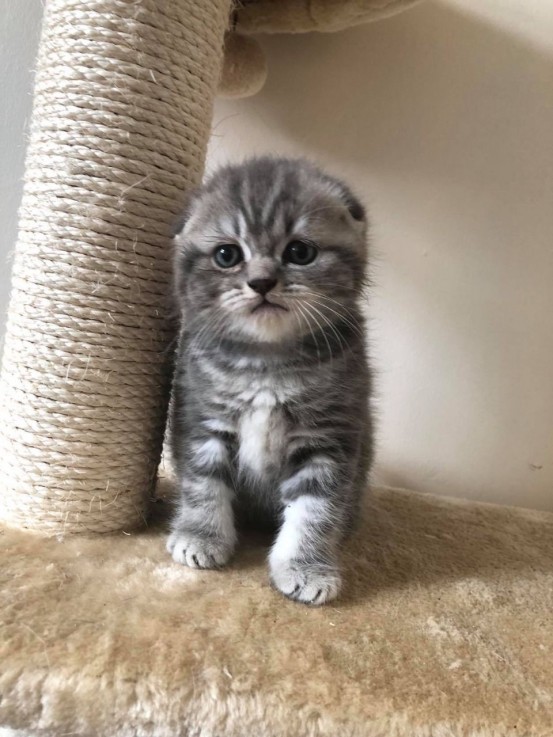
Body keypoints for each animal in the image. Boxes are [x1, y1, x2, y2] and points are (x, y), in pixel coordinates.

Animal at [166, 157, 374, 604]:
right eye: (226, 255)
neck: (266, 363)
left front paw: (306, 566)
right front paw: (201, 535)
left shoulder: (328, 435)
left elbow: (316, 509)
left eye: (299, 252)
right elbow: (202, 483)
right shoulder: (202, 419)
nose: (261, 282)